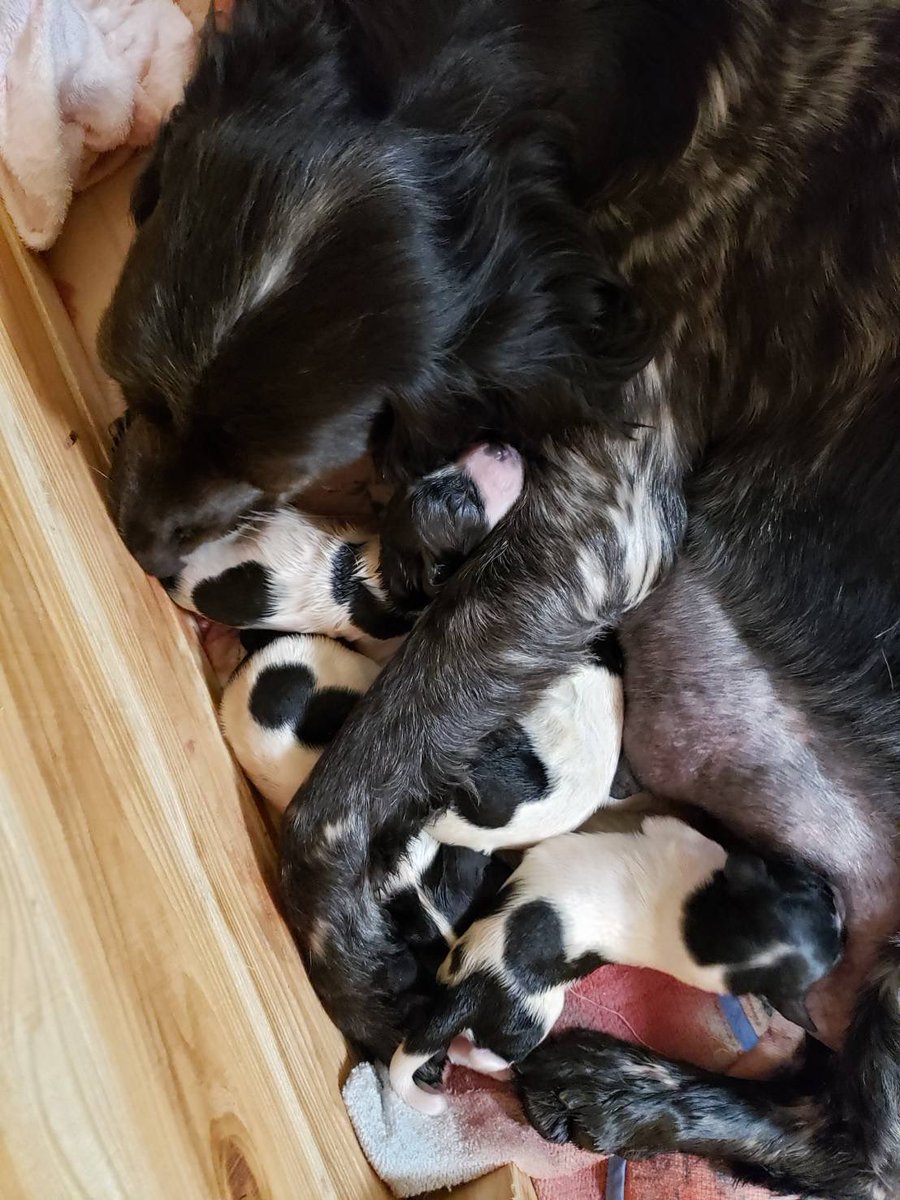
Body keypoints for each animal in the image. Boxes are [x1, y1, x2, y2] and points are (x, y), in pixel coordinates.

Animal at [391, 816, 849, 1113]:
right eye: (817, 892)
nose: (842, 908)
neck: (706, 941)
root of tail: (470, 987)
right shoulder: (679, 834)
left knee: (479, 1050)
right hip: (532, 1017)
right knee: (485, 1055)